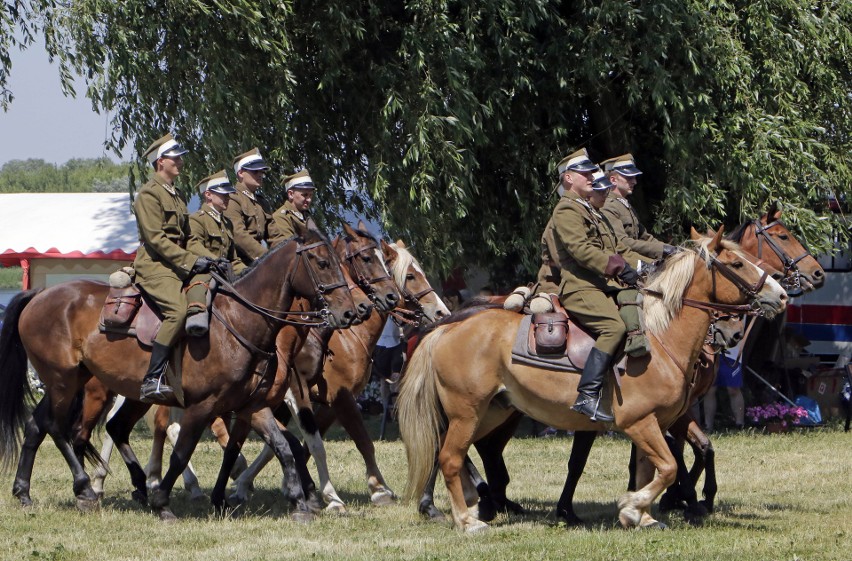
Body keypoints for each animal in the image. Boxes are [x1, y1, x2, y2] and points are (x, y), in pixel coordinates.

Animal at [0, 228, 358, 520]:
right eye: (321, 262)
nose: (350, 313)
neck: (238, 321)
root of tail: (41, 295)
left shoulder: (251, 406)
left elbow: (283, 446)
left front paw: (299, 502)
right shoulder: (202, 406)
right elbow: (182, 453)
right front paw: (164, 503)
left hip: (73, 383)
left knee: (45, 425)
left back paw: (26, 492)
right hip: (65, 381)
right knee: (58, 427)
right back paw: (86, 487)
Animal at [226, 236, 452, 508]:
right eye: (410, 276)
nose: (442, 312)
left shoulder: (323, 403)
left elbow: (294, 444)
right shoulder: (338, 397)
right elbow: (362, 441)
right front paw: (378, 489)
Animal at [398, 230, 784, 532]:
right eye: (737, 265)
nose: (780, 295)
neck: (659, 338)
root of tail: (448, 327)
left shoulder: (656, 422)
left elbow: (651, 468)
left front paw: (642, 516)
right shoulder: (641, 423)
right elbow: (668, 467)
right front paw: (635, 505)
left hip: (493, 412)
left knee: (462, 452)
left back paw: (479, 504)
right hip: (467, 412)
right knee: (449, 457)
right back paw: (467, 519)